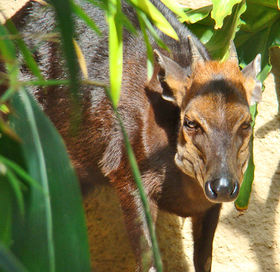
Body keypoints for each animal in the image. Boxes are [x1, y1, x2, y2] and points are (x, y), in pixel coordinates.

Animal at [17, 0, 262, 272]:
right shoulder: (128, 174)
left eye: (247, 122)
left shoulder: (211, 205)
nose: (223, 187)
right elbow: (149, 261)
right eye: (190, 122)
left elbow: (203, 261)